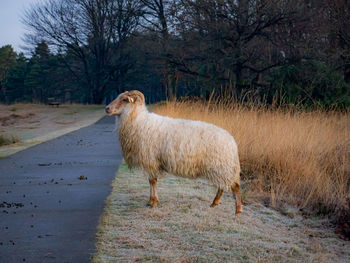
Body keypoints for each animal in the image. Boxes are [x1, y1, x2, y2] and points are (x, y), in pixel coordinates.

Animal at [106, 90, 242, 214]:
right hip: (221, 167)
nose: (107, 108)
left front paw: (153, 202)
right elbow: (151, 181)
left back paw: (237, 210)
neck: (139, 121)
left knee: (234, 186)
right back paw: (215, 203)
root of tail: (232, 141)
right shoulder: (152, 161)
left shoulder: (151, 160)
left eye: (124, 99)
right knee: (223, 186)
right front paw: (150, 201)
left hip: (221, 166)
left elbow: (153, 181)